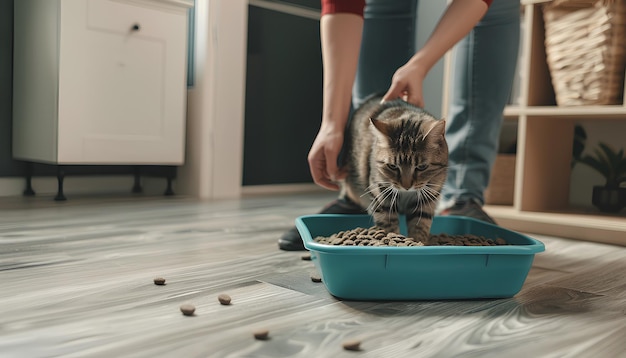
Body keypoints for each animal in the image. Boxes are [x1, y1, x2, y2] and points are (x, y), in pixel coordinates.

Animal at [338, 93, 446, 242]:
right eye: (393, 166)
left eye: (422, 167)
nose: (406, 186)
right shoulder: (381, 193)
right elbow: (388, 224)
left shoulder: (428, 197)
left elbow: (420, 225)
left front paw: (419, 242)